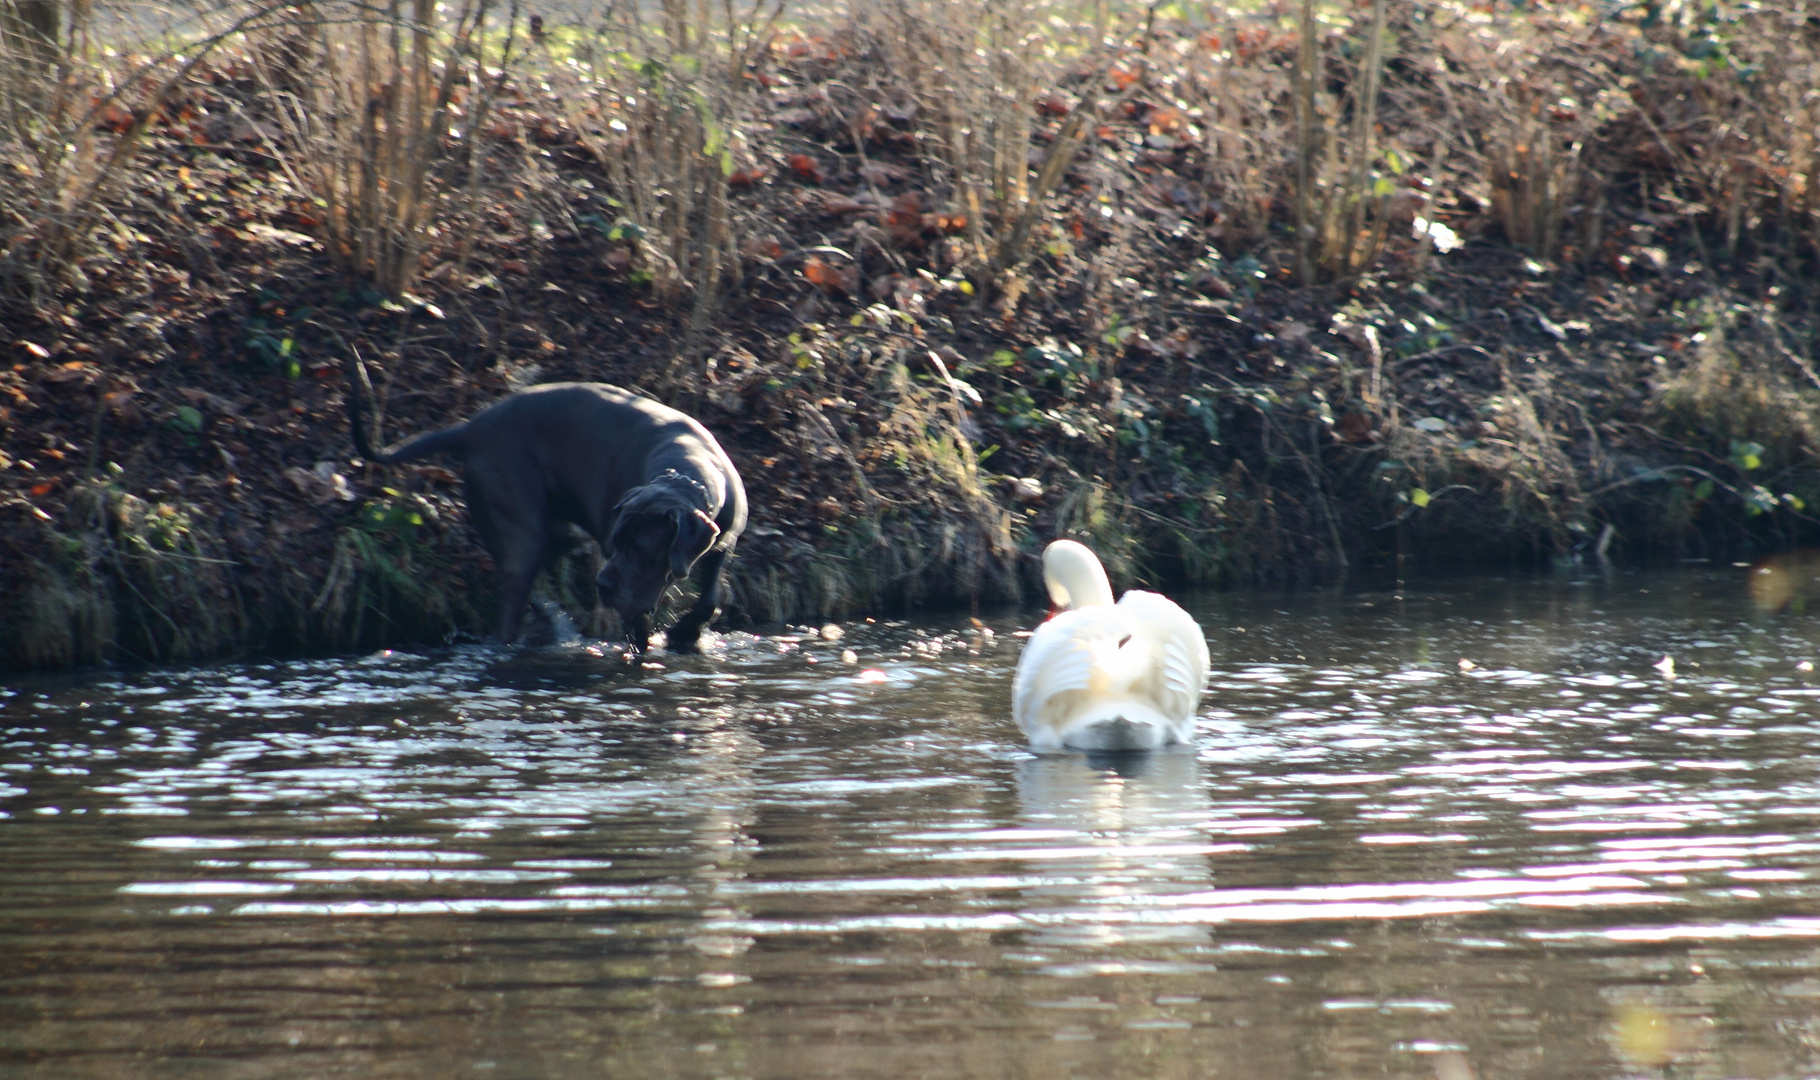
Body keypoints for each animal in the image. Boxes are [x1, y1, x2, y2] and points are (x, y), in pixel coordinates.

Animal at [347, 376, 746, 648]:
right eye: (614, 544)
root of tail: (471, 427)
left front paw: (686, 632)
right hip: (522, 530)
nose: (603, 585)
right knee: (510, 605)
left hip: (556, 534)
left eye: (640, 548)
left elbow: (711, 597)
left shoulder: (721, 546)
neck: (684, 472)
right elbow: (640, 627)